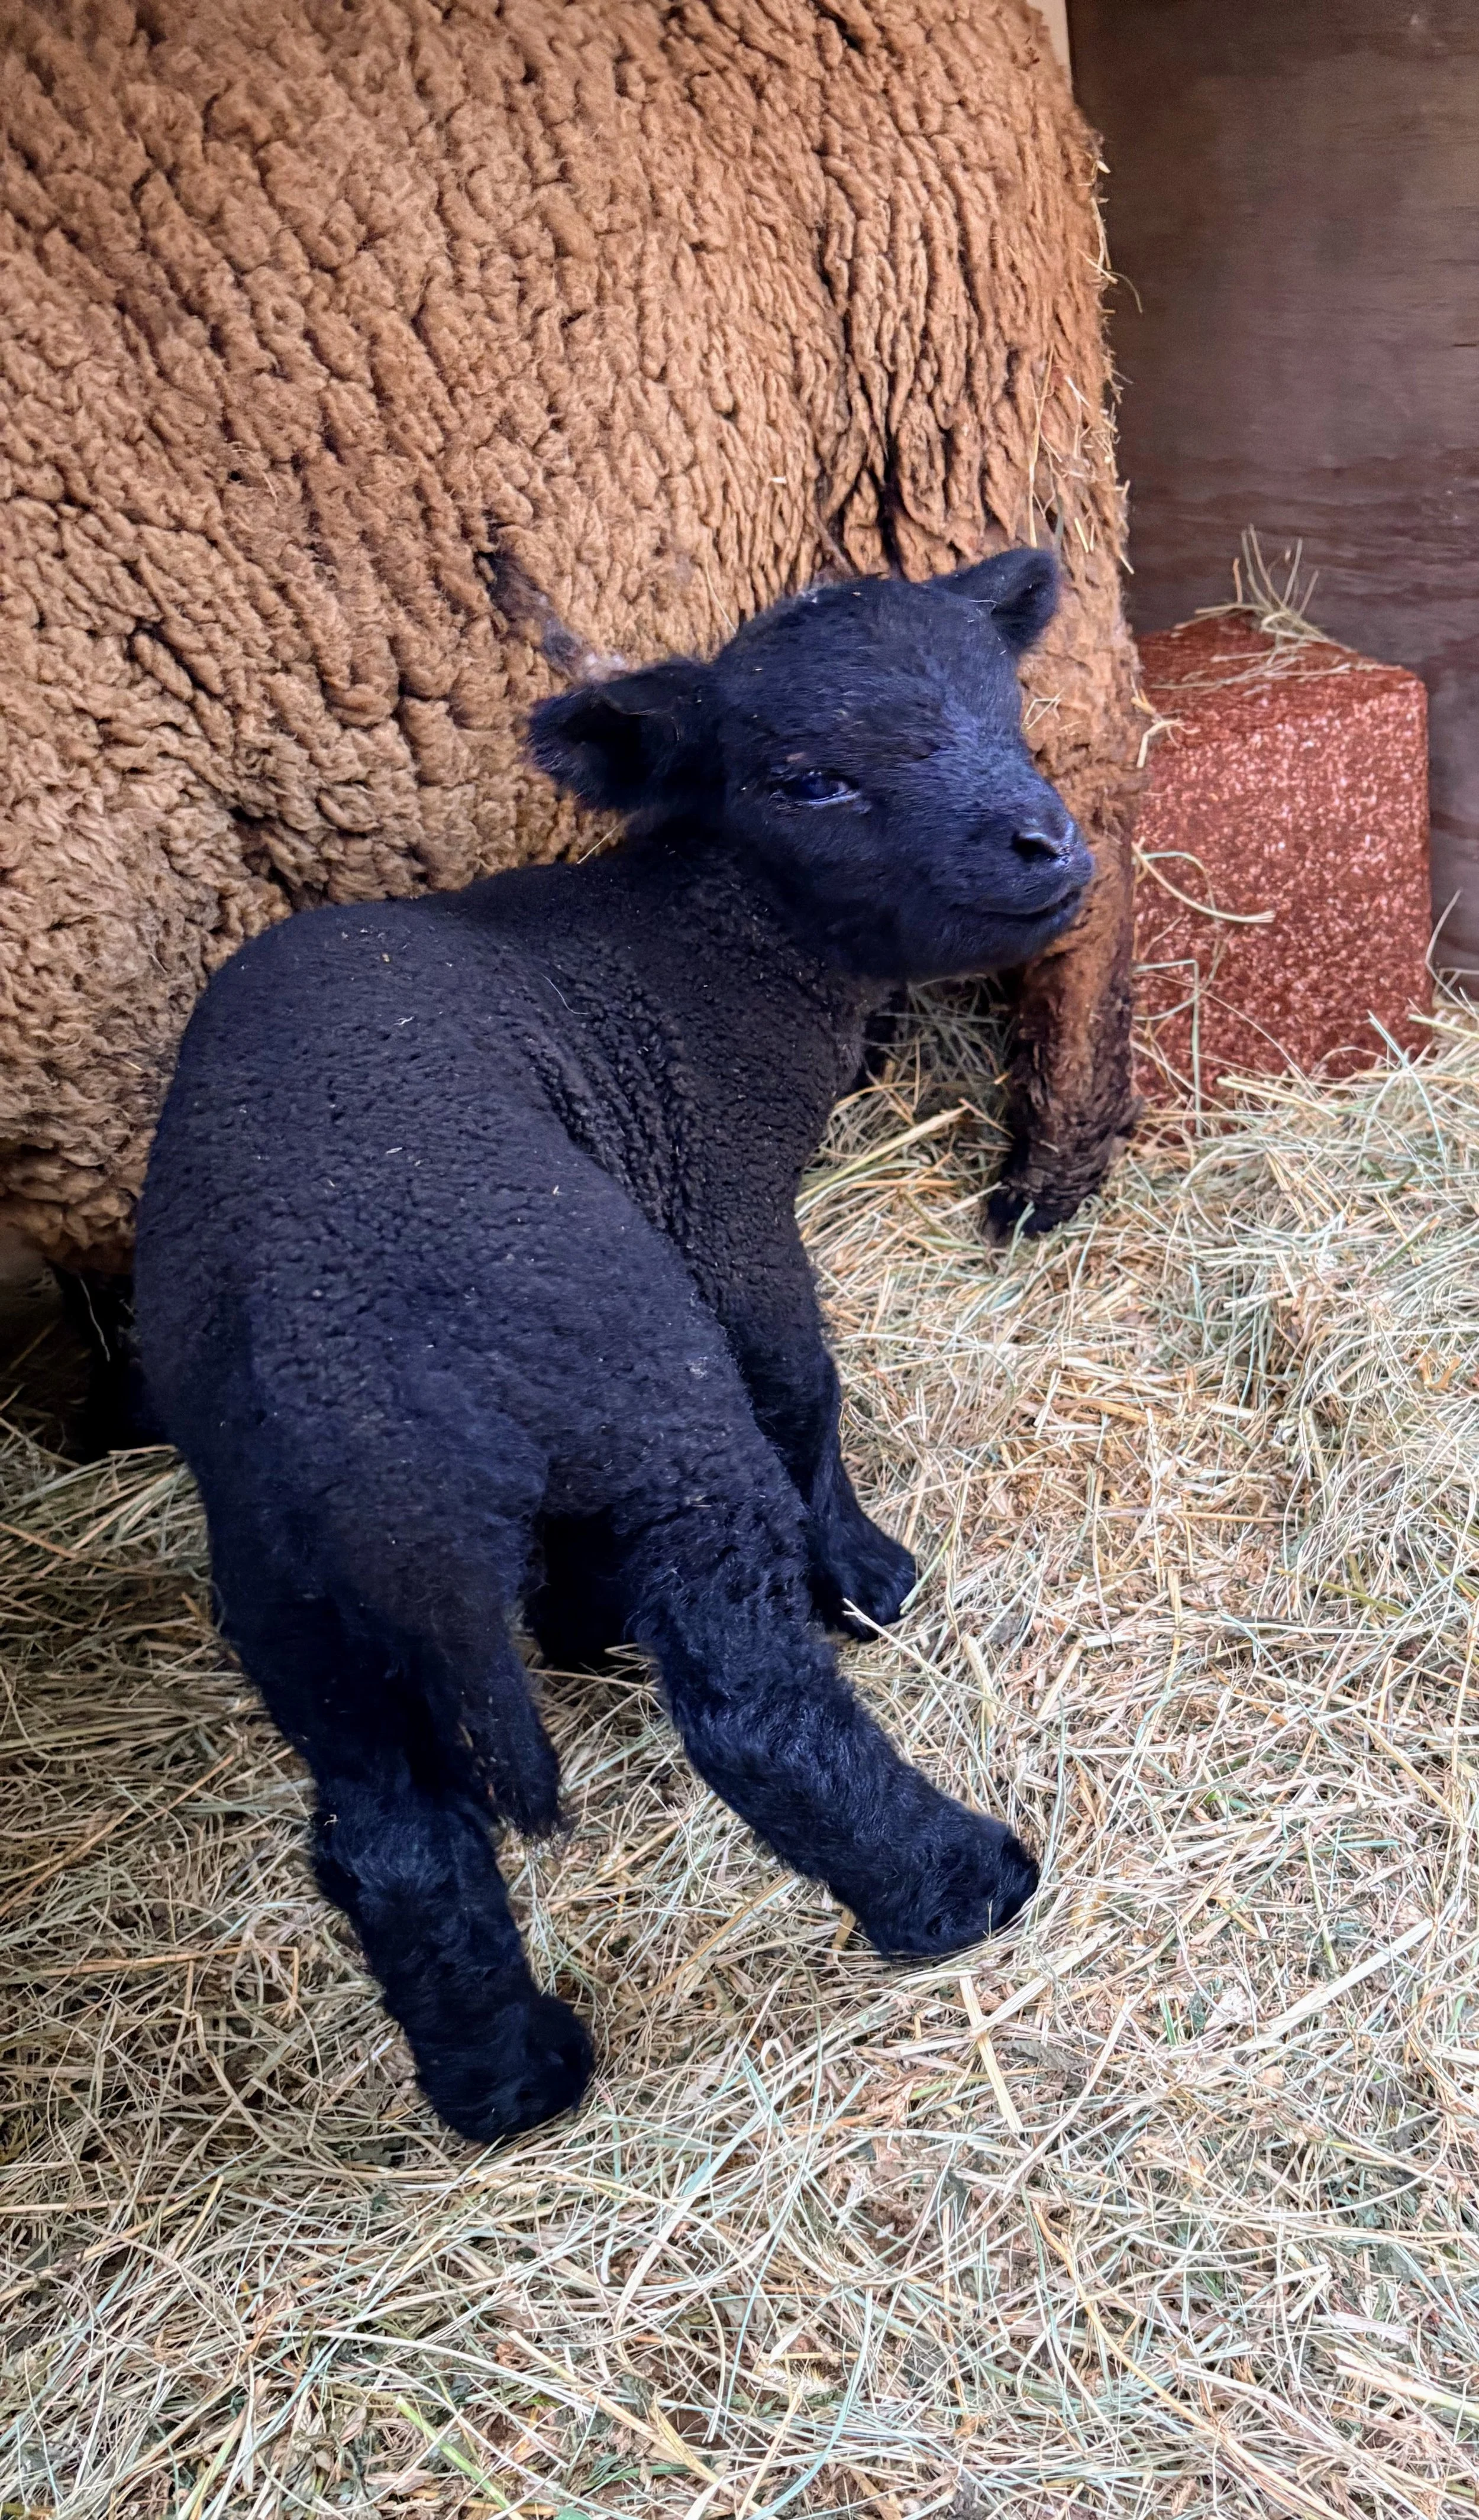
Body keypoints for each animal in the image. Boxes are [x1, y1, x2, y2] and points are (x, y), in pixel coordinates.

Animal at [134, 550, 1078, 2142]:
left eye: (1004, 710)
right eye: (808, 779)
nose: (1046, 845)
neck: (703, 938)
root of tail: (380, 1447)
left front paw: (591, 1619)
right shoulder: (720, 1193)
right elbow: (800, 1377)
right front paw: (862, 1569)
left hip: (292, 1588)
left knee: (394, 1838)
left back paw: (509, 2075)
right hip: (646, 1390)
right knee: (750, 1704)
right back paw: (958, 1882)